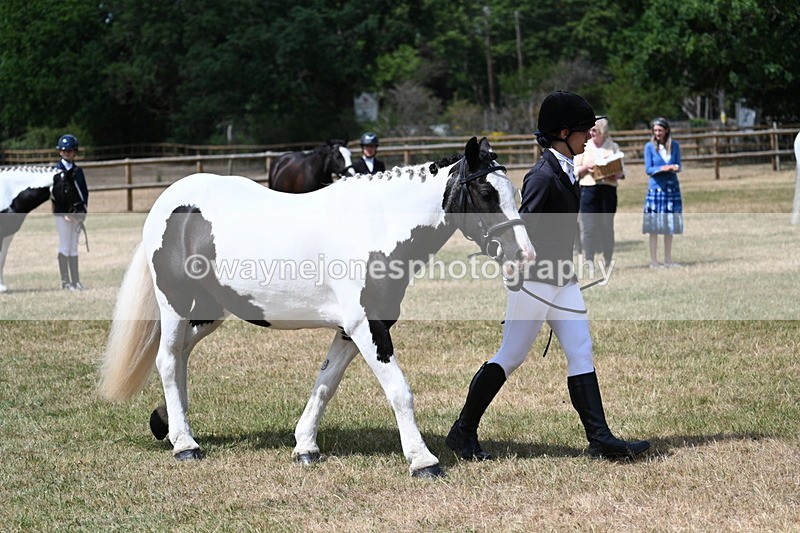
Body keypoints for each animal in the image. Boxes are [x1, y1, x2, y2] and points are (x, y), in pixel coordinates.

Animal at [99, 136, 535, 478]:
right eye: (486, 194)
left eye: (514, 193)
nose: (525, 256)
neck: (375, 226)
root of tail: (169, 201)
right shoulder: (367, 327)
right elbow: (399, 389)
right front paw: (422, 460)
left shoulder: (351, 330)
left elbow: (325, 384)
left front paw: (305, 447)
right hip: (175, 302)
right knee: (168, 358)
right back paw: (185, 444)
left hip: (213, 309)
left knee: (180, 355)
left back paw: (169, 424)